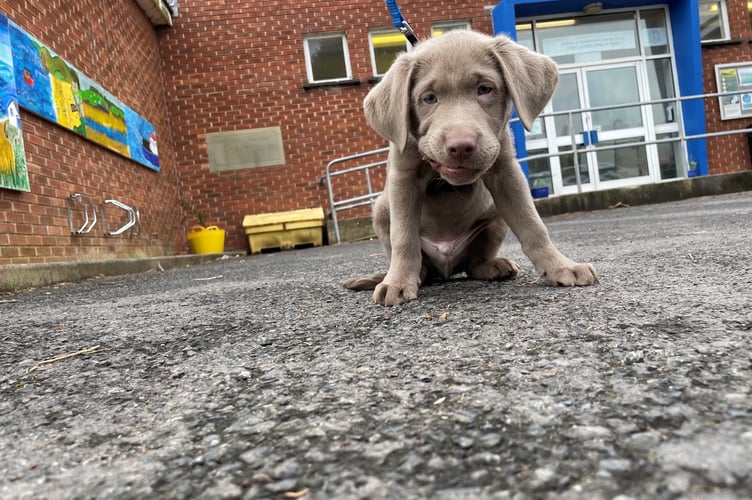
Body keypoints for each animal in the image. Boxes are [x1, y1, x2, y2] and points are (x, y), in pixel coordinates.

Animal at [342, 31, 600, 306]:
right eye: (429, 98)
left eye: (485, 89)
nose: (461, 147)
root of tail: (446, 268)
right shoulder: (403, 177)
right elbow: (403, 236)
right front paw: (398, 282)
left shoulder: (506, 172)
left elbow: (533, 225)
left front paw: (561, 267)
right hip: (381, 210)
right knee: (420, 262)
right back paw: (414, 275)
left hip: (496, 216)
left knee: (473, 264)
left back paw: (494, 266)